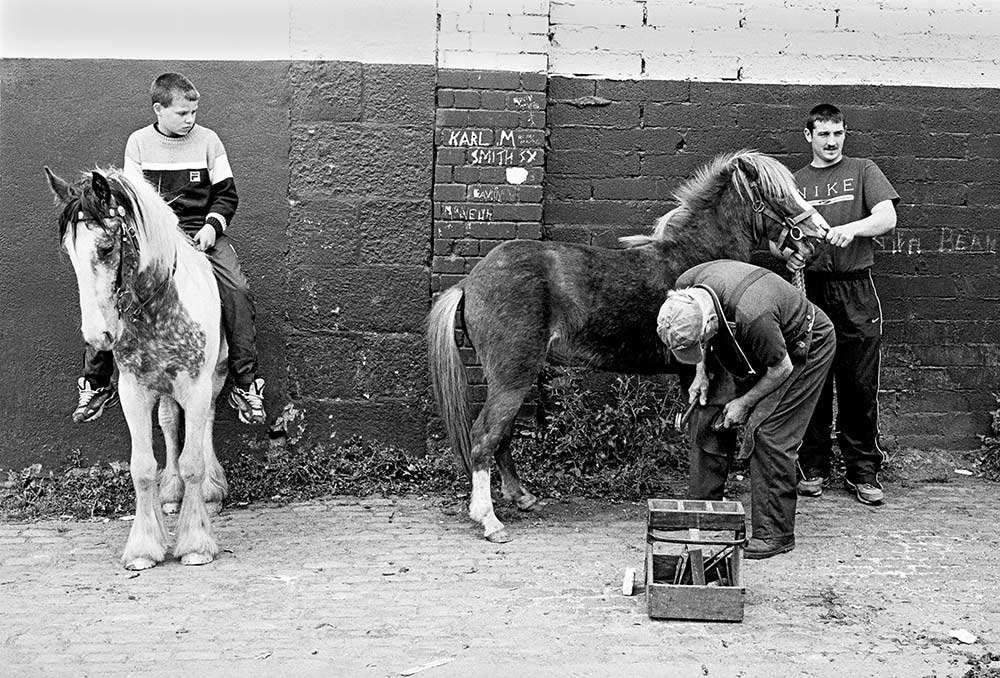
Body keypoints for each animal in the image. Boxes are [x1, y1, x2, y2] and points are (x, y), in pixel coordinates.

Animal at [46, 166, 229, 570]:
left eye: (106, 248)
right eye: (69, 252)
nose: (98, 335)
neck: (159, 307)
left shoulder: (195, 385)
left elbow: (193, 460)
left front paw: (195, 544)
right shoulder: (135, 391)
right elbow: (142, 468)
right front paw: (144, 547)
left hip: (215, 376)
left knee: (206, 422)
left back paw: (211, 491)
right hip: (163, 387)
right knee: (170, 424)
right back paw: (172, 493)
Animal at [427, 149, 829, 542]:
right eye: (777, 194)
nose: (819, 233)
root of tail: (469, 282)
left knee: (502, 435)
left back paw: (522, 497)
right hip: (512, 376)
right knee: (484, 436)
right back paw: (490, 521)